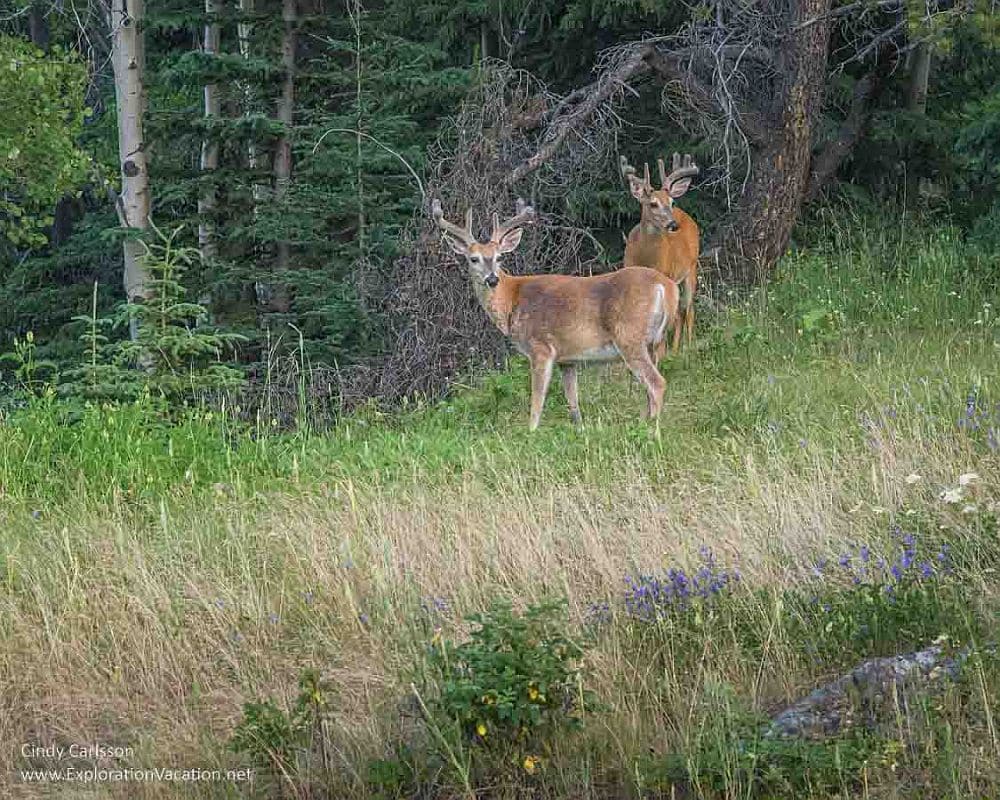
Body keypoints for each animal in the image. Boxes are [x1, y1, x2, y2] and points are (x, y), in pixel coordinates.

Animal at [430, 196, 680, 428]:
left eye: (499, 257)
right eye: (474, 259)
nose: (492, 279)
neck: (512, 300)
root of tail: (666, 286)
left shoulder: (541, 347)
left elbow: (537, 402)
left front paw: (531, 433)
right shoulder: (567, 359)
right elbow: (573, 402)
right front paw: (579, 429)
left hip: (629, 336)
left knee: (657, 383)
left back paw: (651, 429)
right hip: (653, 342)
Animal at [620, 153, 700, 356]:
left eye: (671, 202)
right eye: (653, 204)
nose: (673, 225)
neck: (646, 259)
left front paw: (661, 355)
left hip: (690, 268)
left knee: (688, 309)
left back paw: (687, 348)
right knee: (679, 313)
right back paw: (675, 350)